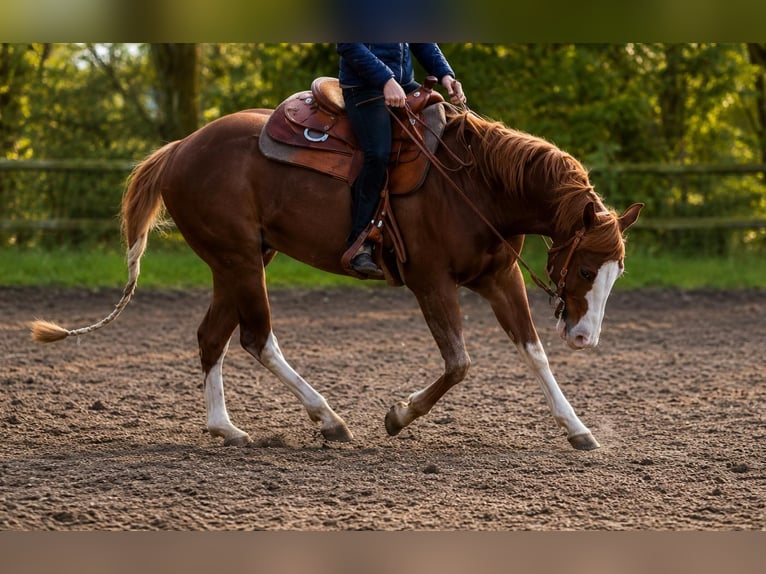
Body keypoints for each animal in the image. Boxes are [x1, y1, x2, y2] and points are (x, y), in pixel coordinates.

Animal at [31, 104, 642, 451]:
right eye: (585, 267)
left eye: (617, 273)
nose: (585, 337)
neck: (476, 186)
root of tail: (181, 148)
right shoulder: (431, 282)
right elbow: (459, 363)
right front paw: (397, 417)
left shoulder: (498, 277)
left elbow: (533, 353)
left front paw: (578, 429)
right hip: (239, 260)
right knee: (257, 338)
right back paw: (328, 419)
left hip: (242, 260)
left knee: (213, 337)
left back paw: (225, 428)